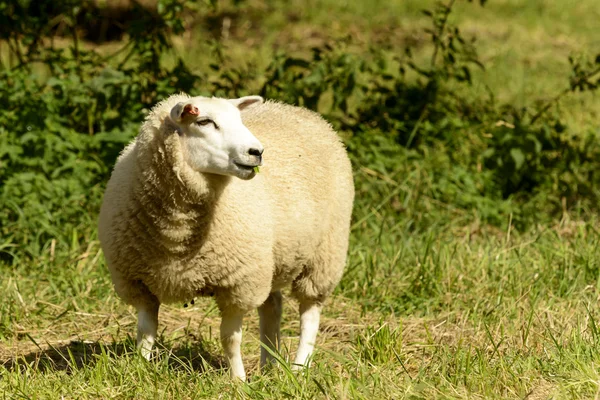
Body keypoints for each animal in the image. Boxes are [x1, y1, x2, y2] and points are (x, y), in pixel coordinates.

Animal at [96, 92, 354, 380]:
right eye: (204, 122)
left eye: (239, 120)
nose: (257, 152)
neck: (176, 236)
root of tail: (300, 110)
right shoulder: (138, 283)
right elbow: (145, 332)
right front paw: (140, 371)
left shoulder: (238, 284)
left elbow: (229, 338)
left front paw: (238, 380)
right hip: (271, 259)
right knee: (272, 307)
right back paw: (268, 366)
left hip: (324, 255)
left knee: (309, 312)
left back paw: (299, 368)